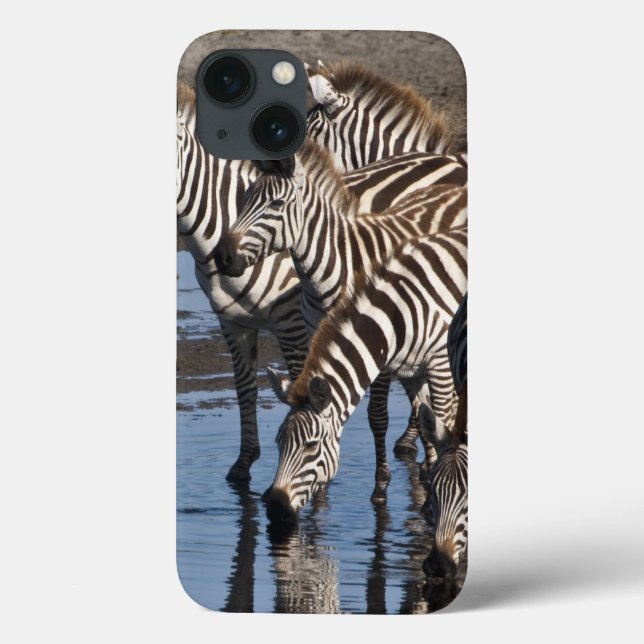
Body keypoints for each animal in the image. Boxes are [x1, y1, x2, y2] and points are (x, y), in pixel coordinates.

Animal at [260, 227, 467, 524]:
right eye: (278, 442)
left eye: (311, 446)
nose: (276, 508)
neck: (394, 318)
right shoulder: (410, 373)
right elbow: (426, 427)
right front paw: (429, 496)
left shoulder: (438, 363)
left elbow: (440, 421)